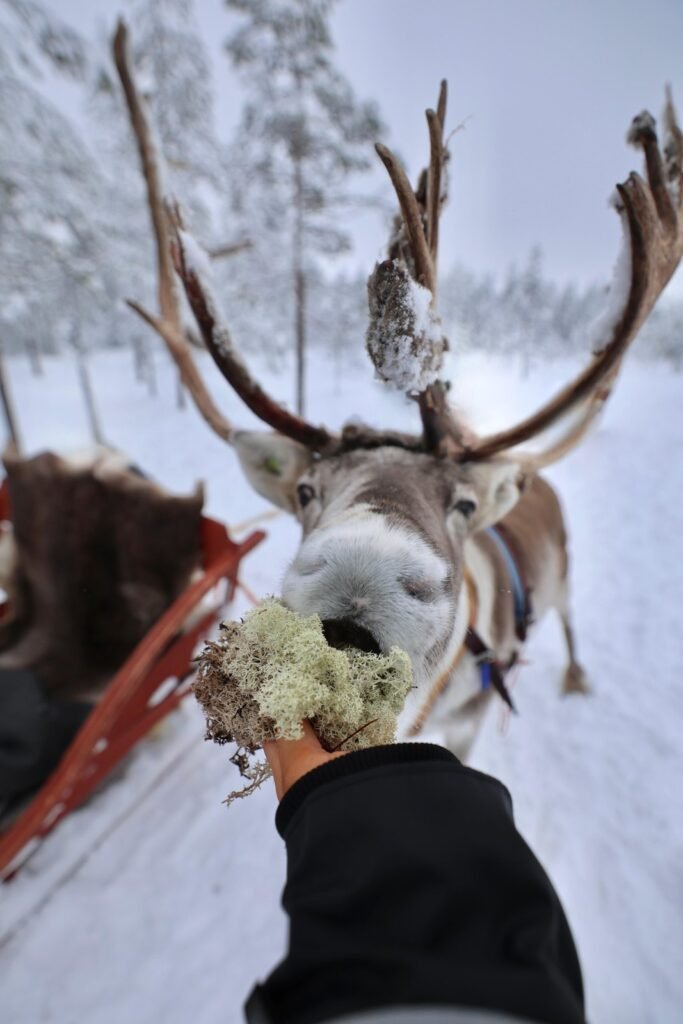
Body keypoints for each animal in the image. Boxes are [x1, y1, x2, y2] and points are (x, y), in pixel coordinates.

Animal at [114, 21, 683, 759]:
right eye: (305, 492)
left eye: (463, 504)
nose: (359, 589)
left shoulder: (468, 724)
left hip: (564, 578)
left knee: (569, 619)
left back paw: (577, 674)